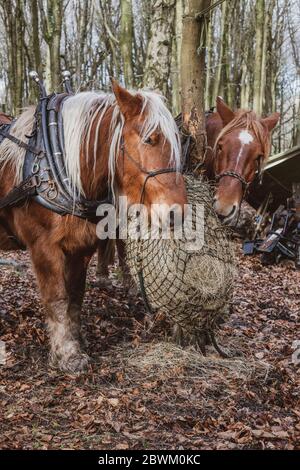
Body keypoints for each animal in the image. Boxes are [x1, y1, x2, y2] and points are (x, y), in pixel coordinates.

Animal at [0, 82, 188, 372]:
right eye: (149, 139)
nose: (177, 214)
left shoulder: (81, 248)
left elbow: (75, 297)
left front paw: (77, 340)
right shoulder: (43, 248)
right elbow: (57, 299)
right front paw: (67, 354)